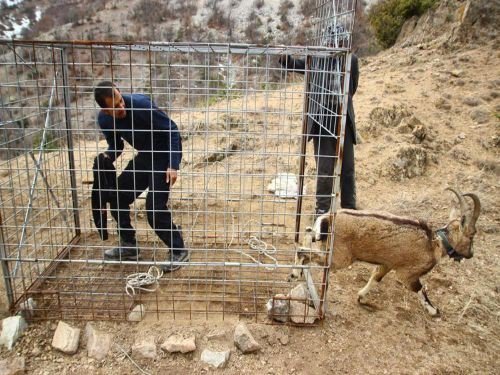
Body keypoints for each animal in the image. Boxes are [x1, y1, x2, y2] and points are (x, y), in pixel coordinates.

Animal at [292, 189, 480, 316]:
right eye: (472, 235)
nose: (471, 254)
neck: (434, 244)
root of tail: (329, 218)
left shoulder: (387, 264)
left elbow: (376, 277)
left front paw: (361, 297)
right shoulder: (407, 273)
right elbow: (420, 289)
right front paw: (434, 311)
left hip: (323, 240)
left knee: (307, 233)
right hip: (339, 257)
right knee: (304, 251)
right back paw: (295, 273)